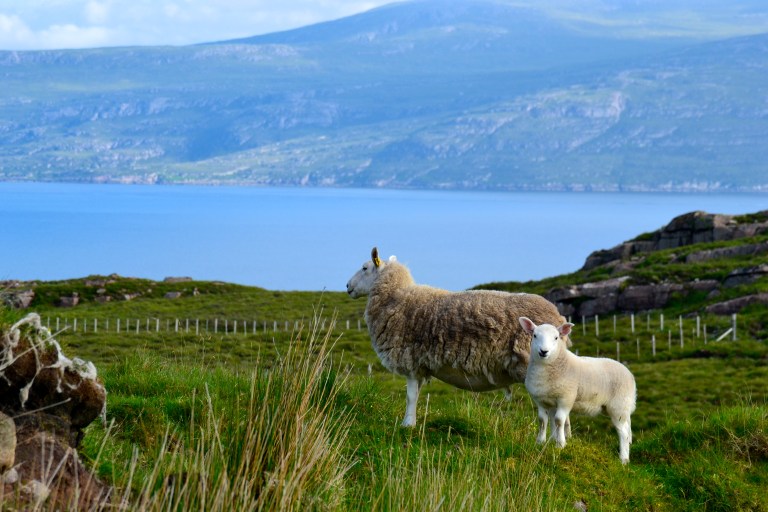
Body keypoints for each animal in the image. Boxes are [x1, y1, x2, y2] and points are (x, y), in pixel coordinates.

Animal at [346, 247, 570, 427]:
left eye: (365, 267)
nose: (347, 286)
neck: (396, 297)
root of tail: (558, 316)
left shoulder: (410, 359)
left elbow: (409, 397)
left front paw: (406, 425)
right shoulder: (420, 364)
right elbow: (416, 396)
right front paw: (412, 422)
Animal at [518, 316, 636, 464]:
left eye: (556, 337)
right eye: (534, 335)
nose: (543, 351)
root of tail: (629, 374)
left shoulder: (566, 398)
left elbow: (559, 420)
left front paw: (560, 444)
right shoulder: (541, 401)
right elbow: (543, 421)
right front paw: (541, 442)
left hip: (618, 407)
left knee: (624, 434)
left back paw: (623, 459)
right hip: (618, 408)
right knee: (626, 429)